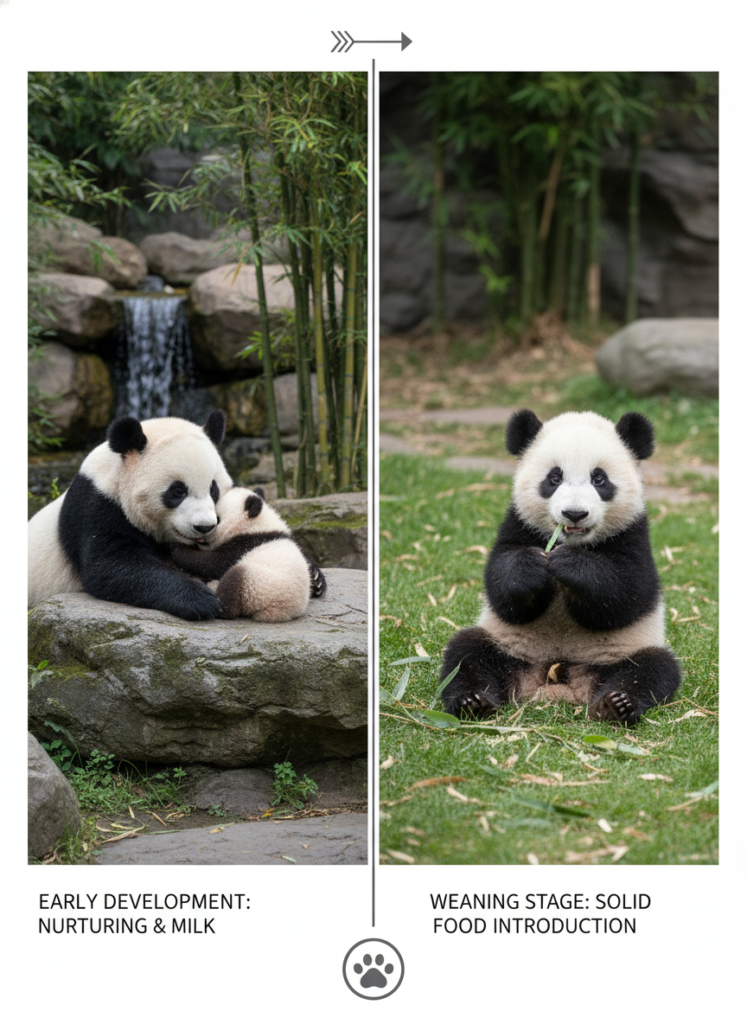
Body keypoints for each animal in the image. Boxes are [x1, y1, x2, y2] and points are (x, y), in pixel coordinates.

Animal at [28, 412, 232, 621]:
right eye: (178, 491)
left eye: (213, 489)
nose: (204, 526)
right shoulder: (96, 508)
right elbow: (109, 567)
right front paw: (201, 600)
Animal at [171, 486, 327, 622]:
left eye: (217, 519)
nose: (200, 534)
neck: (258, 524)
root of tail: (277, 611)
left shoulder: (245, 544)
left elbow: (213, 563)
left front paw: (177, 548)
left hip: (257, 585)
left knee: (233, 582)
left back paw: (216, 600)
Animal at [440, 408, 681, 725]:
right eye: (554, 478)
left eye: (599, 479)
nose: (574, 513)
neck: (574, 541)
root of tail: (557, 681)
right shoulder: (518, 524)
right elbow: (502, 592)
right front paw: (531, 567)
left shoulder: (634, 534)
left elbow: (628, 593)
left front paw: (570, 565)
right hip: (507, 644)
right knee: (468, 653)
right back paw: (473, 701)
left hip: (621, 651)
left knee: (653, 669)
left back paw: (616, 704)